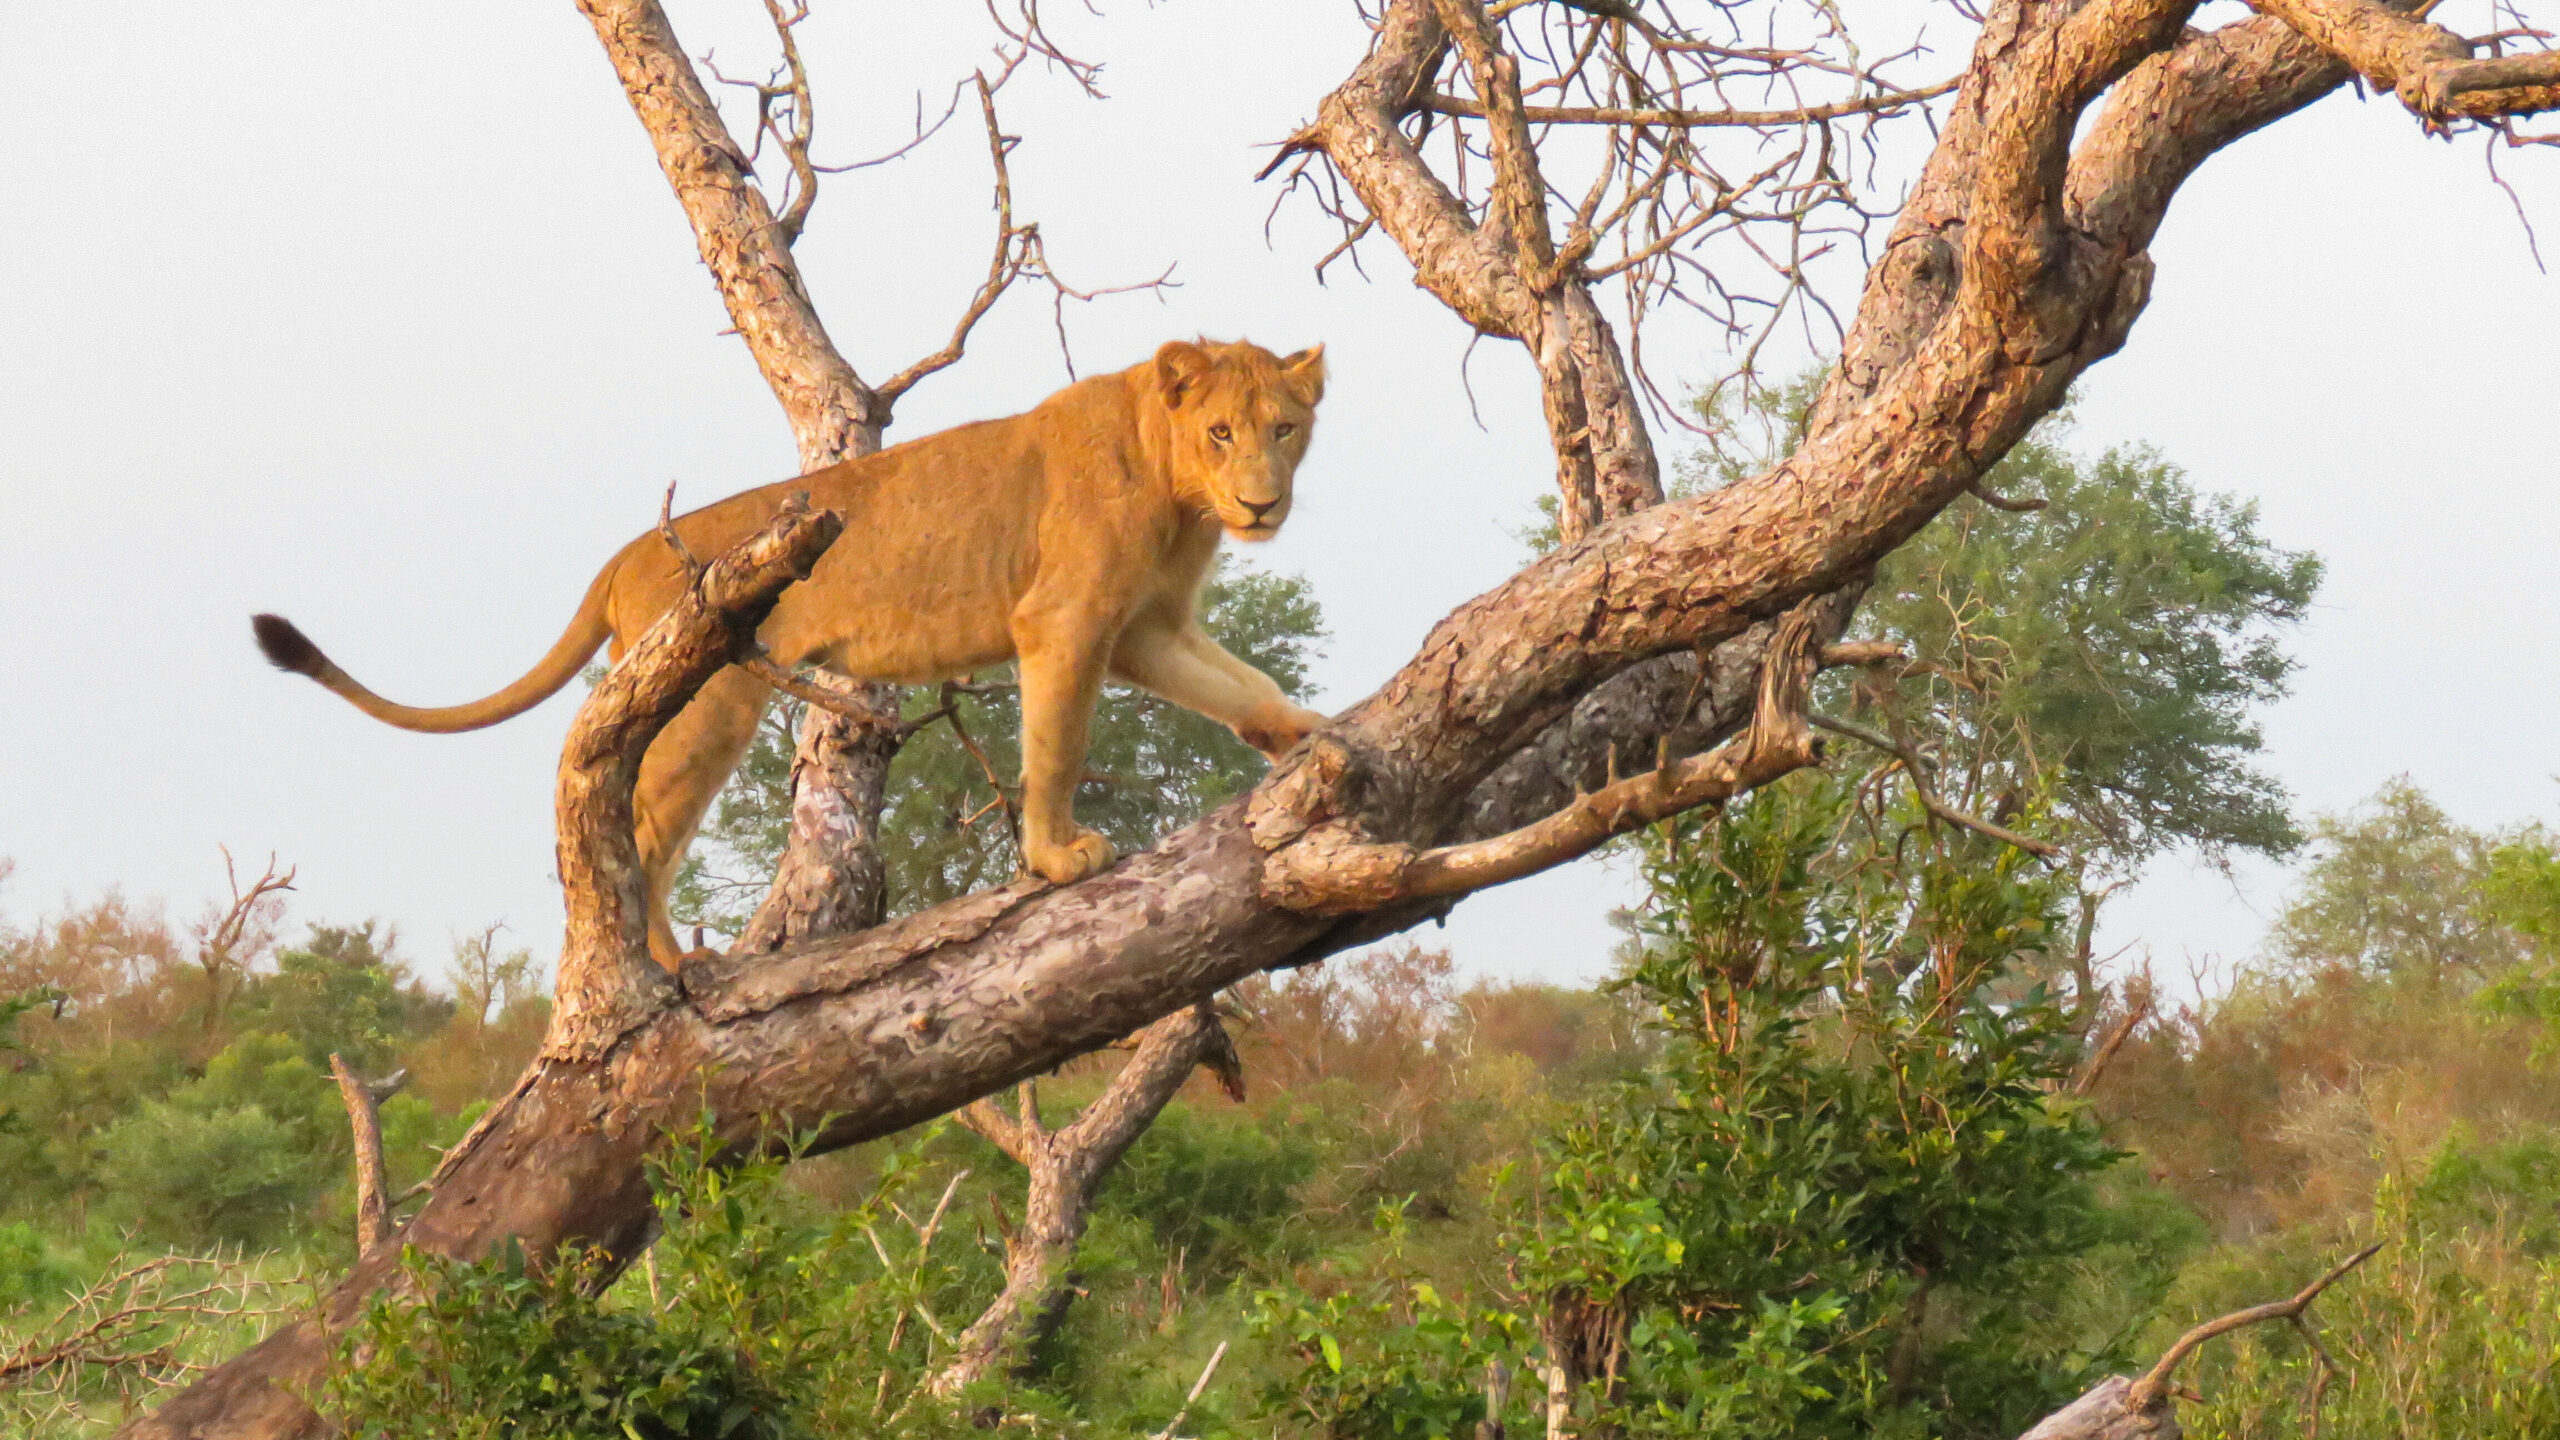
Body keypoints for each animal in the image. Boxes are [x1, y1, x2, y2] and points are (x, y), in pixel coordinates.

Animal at [252, 338, 1331, 967]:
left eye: (1284, 429)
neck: (1178, 496)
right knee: (636, 831)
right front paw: (1059, 855)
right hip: (708, 699)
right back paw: (672, 966)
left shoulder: (1147, 627)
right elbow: (1057, 746)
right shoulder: (1063, 621)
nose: (1261, 504)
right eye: (1220, 431)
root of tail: (626, 554)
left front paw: (1316, 738)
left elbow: (1245, 685)